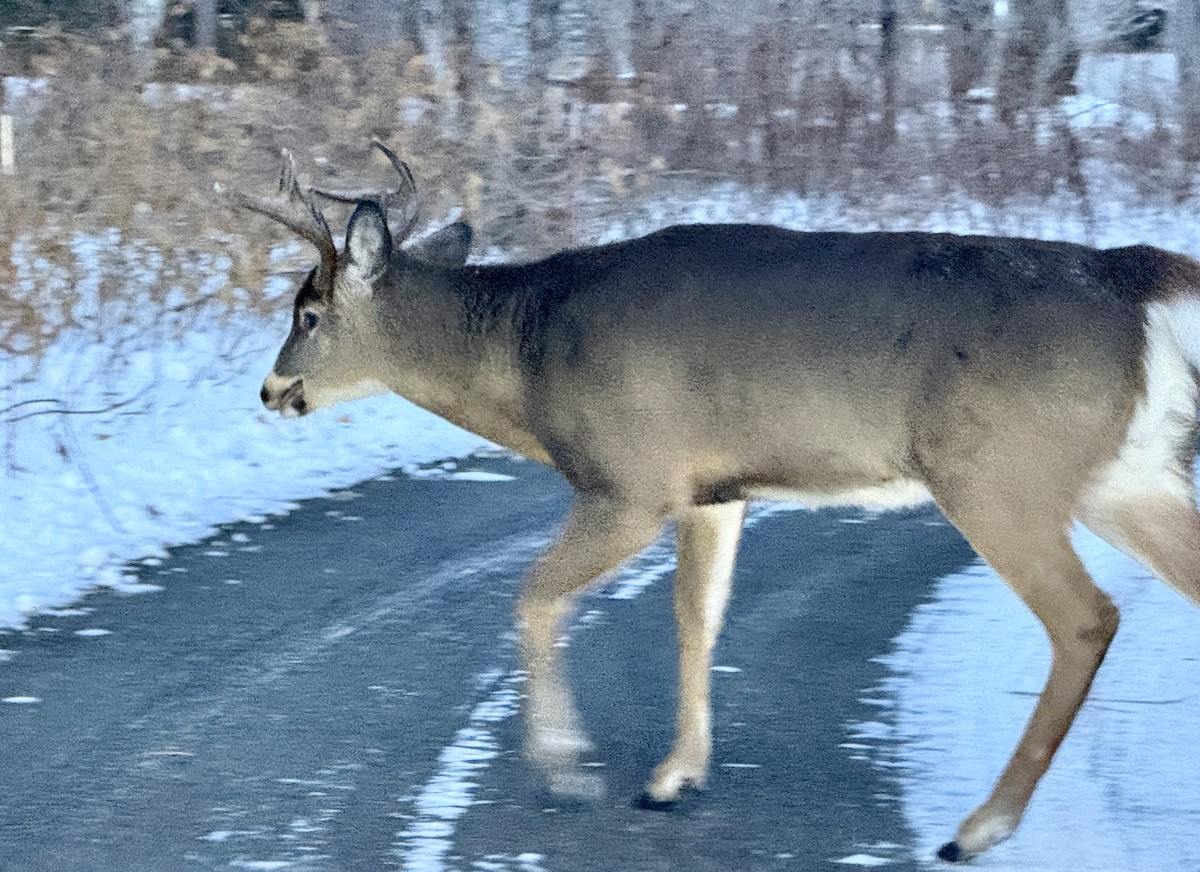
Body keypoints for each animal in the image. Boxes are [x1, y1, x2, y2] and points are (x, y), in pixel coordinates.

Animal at [228, 142, 1200, 863]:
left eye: (308, 313)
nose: (273, 391)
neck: (527, 355)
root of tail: (1144, 285)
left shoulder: (632, 479)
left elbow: (535, 595)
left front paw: (569, 768)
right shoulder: (713, 491)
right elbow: (697, 617)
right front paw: (674, 776)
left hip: (997, 472)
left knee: (1086, 618)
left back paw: (978, 829)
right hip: (1126, 474)